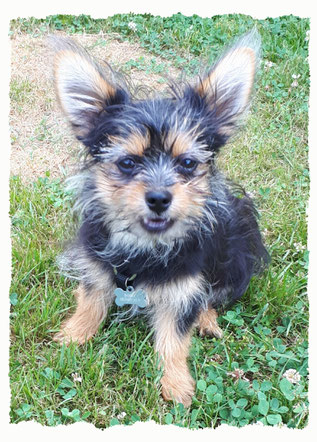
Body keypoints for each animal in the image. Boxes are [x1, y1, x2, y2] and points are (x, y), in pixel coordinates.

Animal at [50, 29, 268, 406]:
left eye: (187, 163)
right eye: (127, 163)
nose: (159, 198)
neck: (145, 247)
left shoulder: (183, 290)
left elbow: (174, 339)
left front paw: (177, 384)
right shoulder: (95, 259)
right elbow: (92, 301)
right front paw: (73, 335)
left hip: (240, 241)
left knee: (214, 292)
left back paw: (206, 318)